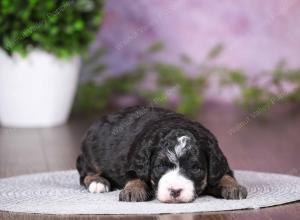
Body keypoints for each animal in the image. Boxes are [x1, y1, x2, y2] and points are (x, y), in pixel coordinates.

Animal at [76, 106, 247, 203]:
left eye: (196, 169)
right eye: (160, 166)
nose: (175, 191)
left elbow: (225, 174)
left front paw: (234, 187)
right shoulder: (135, 160)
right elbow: (135, 175)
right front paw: (134, 189)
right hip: (90, 153)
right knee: (85, 172)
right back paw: (97, 182)